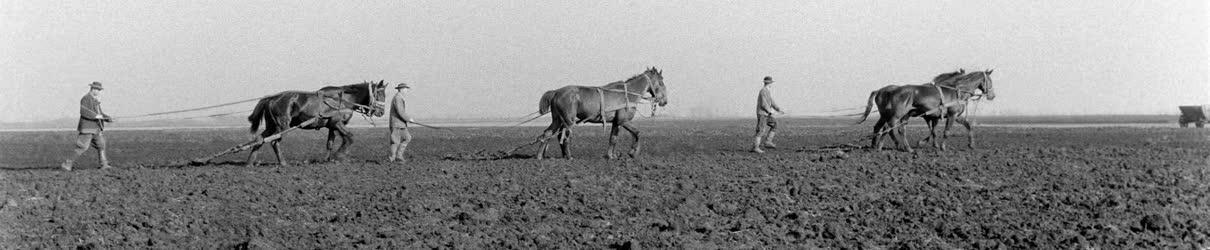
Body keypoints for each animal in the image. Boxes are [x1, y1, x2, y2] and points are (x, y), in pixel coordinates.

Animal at [240, 80, 382, 165]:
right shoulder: (337, 123)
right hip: (281, 126)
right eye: (380, 94)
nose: (381, 112)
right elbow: (349, 137)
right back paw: (283, 163)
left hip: (271, 125)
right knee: (274, 142)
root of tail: (271, 98)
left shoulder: (331, 126)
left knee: (260, 139)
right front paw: (339, 156)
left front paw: (327, 159)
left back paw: (250, 162)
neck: (342, 100)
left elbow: (330, 143)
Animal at [539, 67, 672, 159]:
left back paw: (540, 156)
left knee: (547, 134)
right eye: (661, 82)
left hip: (557, 120)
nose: (664, 101)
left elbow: (613, 139)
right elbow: (637, 133)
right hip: (568, 121)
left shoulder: (616, 122)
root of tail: (556, 92)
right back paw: (569, 157)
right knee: (565, 138)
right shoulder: (623, 121)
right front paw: (633, 152)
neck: (628, 94)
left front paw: (611, 156)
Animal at [856, 69, 997, 152]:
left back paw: (900, 147)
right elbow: (945, 131)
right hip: (896, 115)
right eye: (990, 81)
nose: (992, 96)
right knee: (888, 128)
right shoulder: (950, 115)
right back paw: (883, 146)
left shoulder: (950, 116)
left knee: (892, 129)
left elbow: (968, 126)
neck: (957, 92)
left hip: (899, 115)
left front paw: (971, 145)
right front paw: (941, 147)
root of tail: (883, 90)